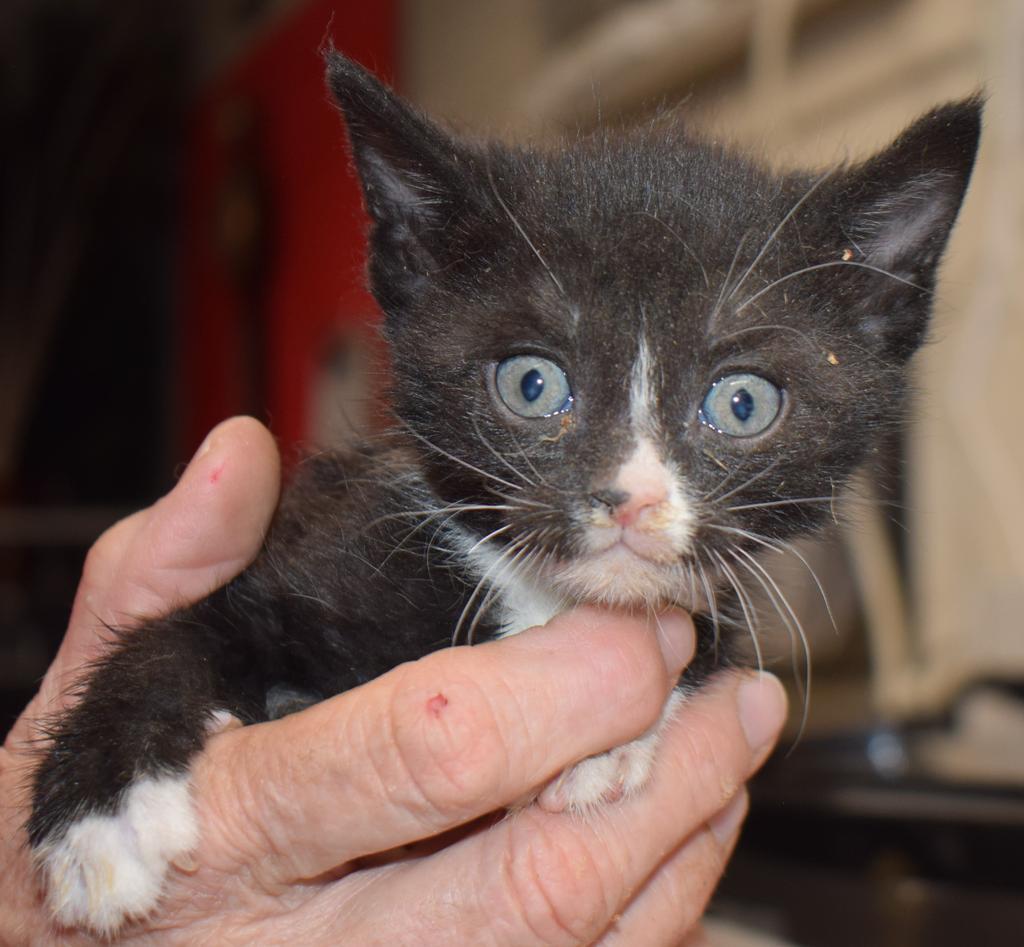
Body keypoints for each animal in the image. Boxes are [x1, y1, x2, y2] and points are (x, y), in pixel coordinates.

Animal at [28, 51, 978, 929]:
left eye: (741, 403)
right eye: (531, 383)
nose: (628, 497)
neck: (529, 598)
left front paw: (608, 745)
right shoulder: (320, 536)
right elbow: (181, 628)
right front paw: (100, 820)